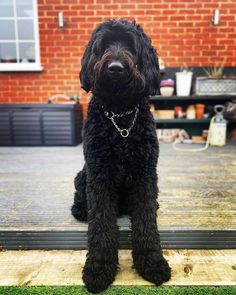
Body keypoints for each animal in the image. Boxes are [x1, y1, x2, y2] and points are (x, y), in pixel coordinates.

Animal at [71, 19, 171, 294]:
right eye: (104, 45)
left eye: (130, 46)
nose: (115, 69)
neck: (120, 117)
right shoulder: (99, 175)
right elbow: (101, 223)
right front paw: (98, 269)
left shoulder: (146, 175)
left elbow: (147, 220)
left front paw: (152, 262)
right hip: (82, 174)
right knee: (81, 196)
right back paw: (80, 208)